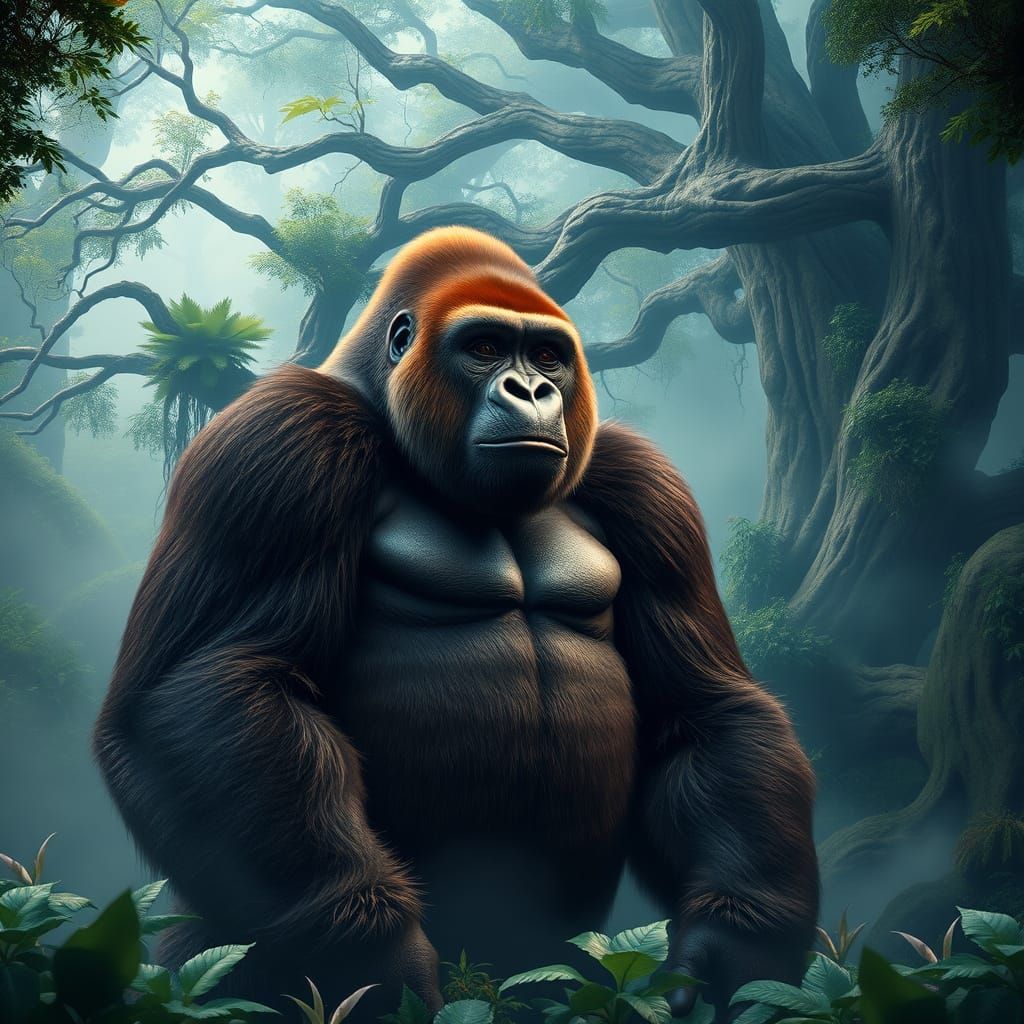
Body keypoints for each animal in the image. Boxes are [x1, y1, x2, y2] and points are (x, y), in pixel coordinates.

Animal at [94, 227, 818, 1021]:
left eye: (547, 356)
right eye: (485, 347)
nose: (531, 392)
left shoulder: (643, 482)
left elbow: (702, 710)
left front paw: (740, 947)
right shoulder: (277, 441)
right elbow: (206, 685)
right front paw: (373, 958)